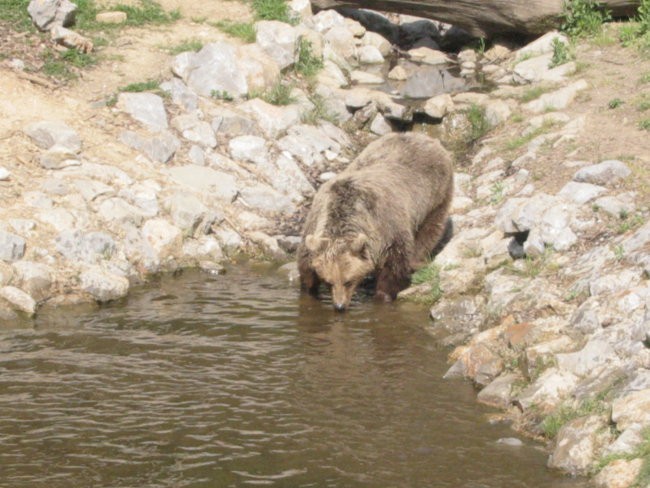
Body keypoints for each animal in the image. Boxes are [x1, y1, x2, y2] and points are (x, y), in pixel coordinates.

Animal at [298, 132, 454, 310]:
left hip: (435, 193)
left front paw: (383, 295)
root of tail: (423, 136)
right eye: (329, 281)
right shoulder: (314, 222)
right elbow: (306, 266)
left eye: (348, 281)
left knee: (429, 230)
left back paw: (417, 261)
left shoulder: (387, 226)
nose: (340, 306)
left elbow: (394, 264)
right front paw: (309, 291)